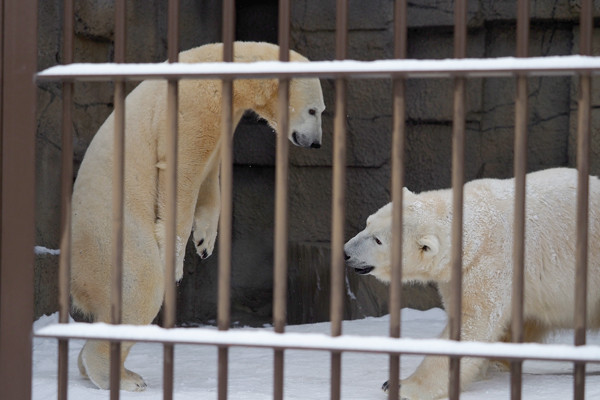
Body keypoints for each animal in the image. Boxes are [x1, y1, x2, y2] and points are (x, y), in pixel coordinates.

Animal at [68, 41, 326, 390]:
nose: (315, 142)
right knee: (141, 283)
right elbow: (181, 173)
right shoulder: (193, 103)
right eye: (314, 110)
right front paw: (177, 262)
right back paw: (121, 378)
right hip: (108, 234)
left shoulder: (224, 118)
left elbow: (210, 178)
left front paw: (205, 243)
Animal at [344, 169, 600, 400]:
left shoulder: (489, 262)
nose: (346, 252)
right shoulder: (456, 276)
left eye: (378, 240)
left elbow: (472, 321)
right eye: (368, 223)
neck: (473, 227)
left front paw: (400, 385)